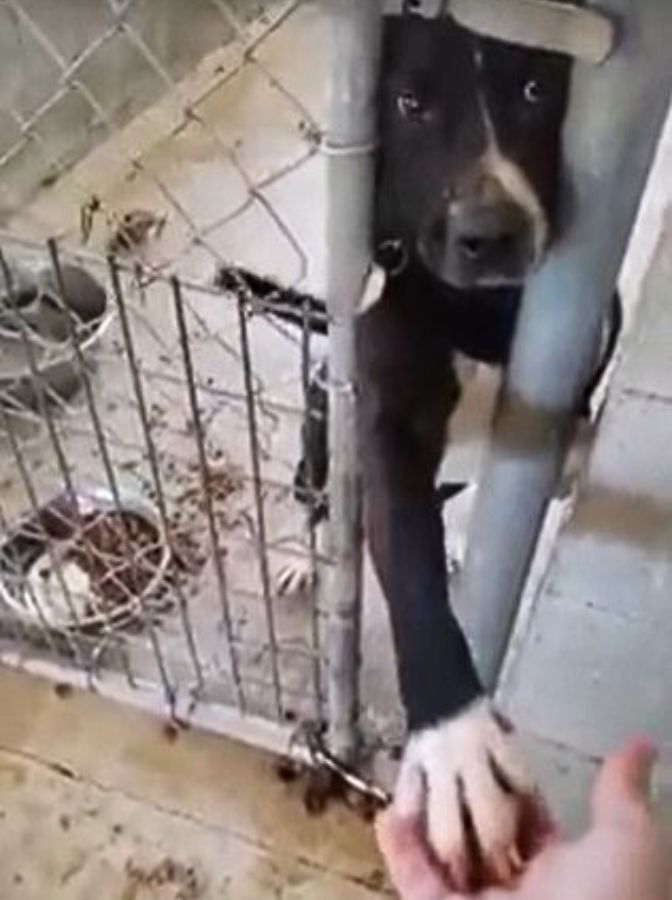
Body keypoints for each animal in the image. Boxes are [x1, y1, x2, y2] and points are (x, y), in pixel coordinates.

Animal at [219, 8, 620, 884]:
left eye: (535, 88)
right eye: (407, 103)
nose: (491, 234)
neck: (476, 315)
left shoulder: (583, 349)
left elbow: (580, 418)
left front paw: (572, 463)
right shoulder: (386, 435)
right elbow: (407, 569)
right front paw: (457, 742)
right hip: (320, 447)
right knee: (315, 499)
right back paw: (305, 553)